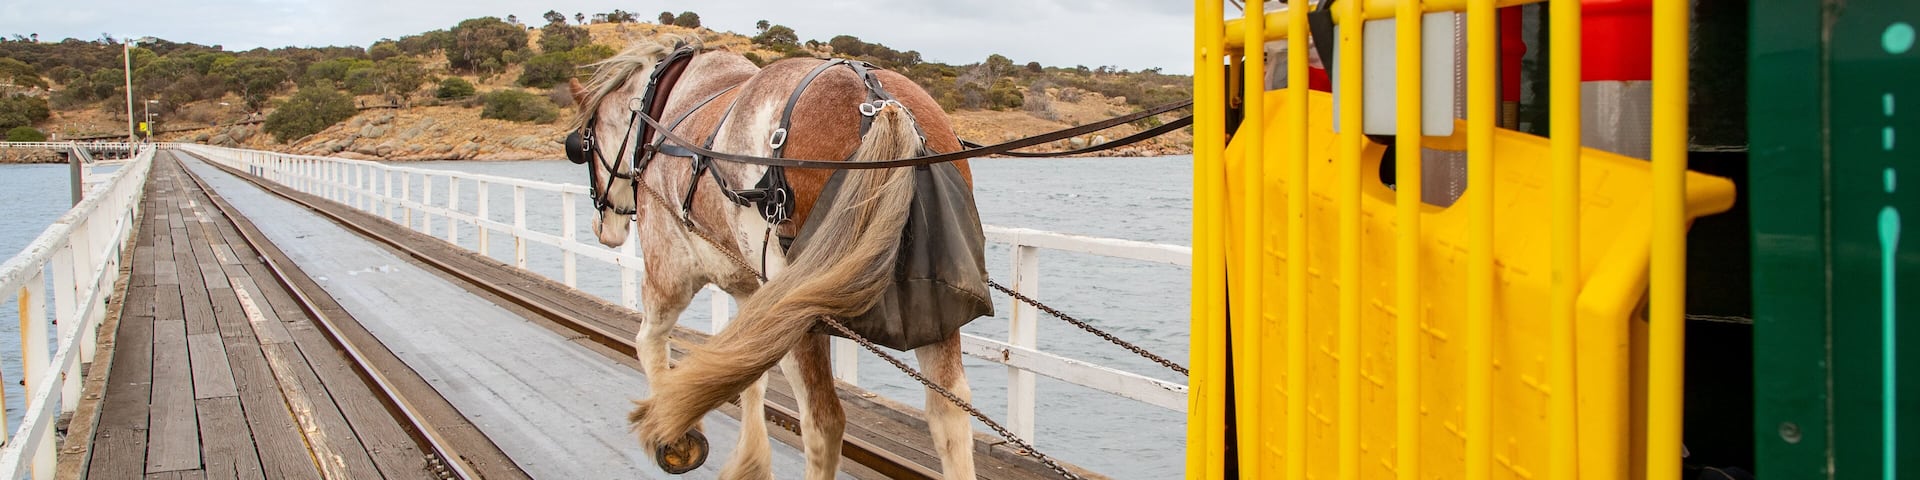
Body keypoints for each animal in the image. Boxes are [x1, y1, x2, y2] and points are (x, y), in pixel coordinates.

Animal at [566, 36, 985, 479]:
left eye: (583, 144)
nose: (602, 226)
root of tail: (881, 106)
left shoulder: (671, 272)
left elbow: (648, 342)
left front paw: (672, 434)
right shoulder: (750, 294)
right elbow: (746, 374)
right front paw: (749, 461)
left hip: (797, 308)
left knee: (823, 422)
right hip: (936, 307)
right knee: (948, 416)